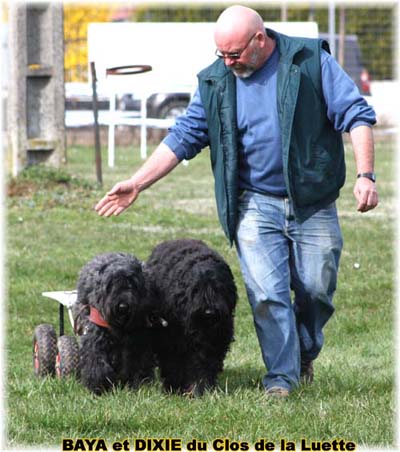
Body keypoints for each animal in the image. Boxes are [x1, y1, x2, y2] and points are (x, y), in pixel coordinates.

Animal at [73, 254, 156, 396]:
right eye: (111, 284)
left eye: (132, 283)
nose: (123, 306)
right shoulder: (96, 337)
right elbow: (96, 360)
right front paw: (99, 385)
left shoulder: (139, 342)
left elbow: (138, 363)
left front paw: (138, 385)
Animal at [145, 240, 236, 396]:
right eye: (196, 289)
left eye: (219, 288)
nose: (209, 312)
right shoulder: (170, 340)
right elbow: (172, 364)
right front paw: (174, 388)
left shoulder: (214, 341)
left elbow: (204, 365)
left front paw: (202, 389)